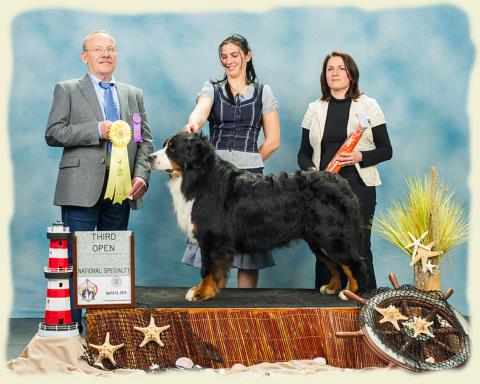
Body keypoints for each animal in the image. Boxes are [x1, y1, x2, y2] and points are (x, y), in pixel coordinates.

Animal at [150, 134, 368, 302]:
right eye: (165, 145)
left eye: (172, 148)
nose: (150, 157)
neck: (201, 177)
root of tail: (341, 182)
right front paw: (202, 290)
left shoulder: (212, 238)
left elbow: (208, 268)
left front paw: (201, 292)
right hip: (318, 240)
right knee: (335, 265)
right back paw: (332, 287)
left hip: (331, 236)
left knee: (354, 263)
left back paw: (352, 293)